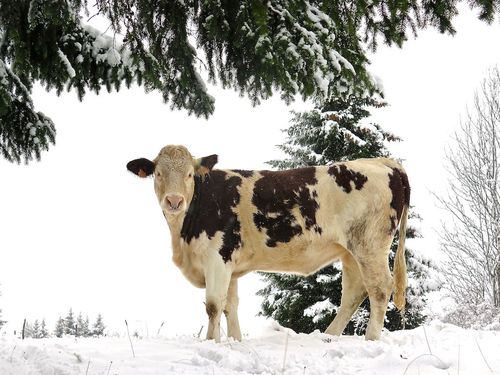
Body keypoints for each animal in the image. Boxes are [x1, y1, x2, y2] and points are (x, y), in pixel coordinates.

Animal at [126, 145, 410, 344]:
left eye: (188, 175)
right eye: (158, 173)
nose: (174, 201)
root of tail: (382, 161)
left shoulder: (217, 257)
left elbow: (214, 305)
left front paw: (210, 343)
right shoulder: (229, 263)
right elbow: (230, 305)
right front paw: (234, 341)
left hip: (370, 245)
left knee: (379, 288)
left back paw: (370, 339)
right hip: (351, 250)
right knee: (353, 292)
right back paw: (329, 337)